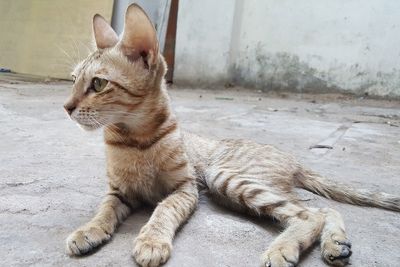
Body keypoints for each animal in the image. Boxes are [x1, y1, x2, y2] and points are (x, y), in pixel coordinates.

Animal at [63, 4, 400, 267]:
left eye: (98, 84)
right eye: (73, 79)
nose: (65, 107)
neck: (134, 139)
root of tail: (292, 158)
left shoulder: (186, 189)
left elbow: (163, 209)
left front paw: (152, 241)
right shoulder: (118, 191)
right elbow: (104, 209)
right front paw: (88, 230)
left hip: (223, 177)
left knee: (309, 214)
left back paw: (283, 248)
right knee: (322, 208)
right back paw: (336, 245)